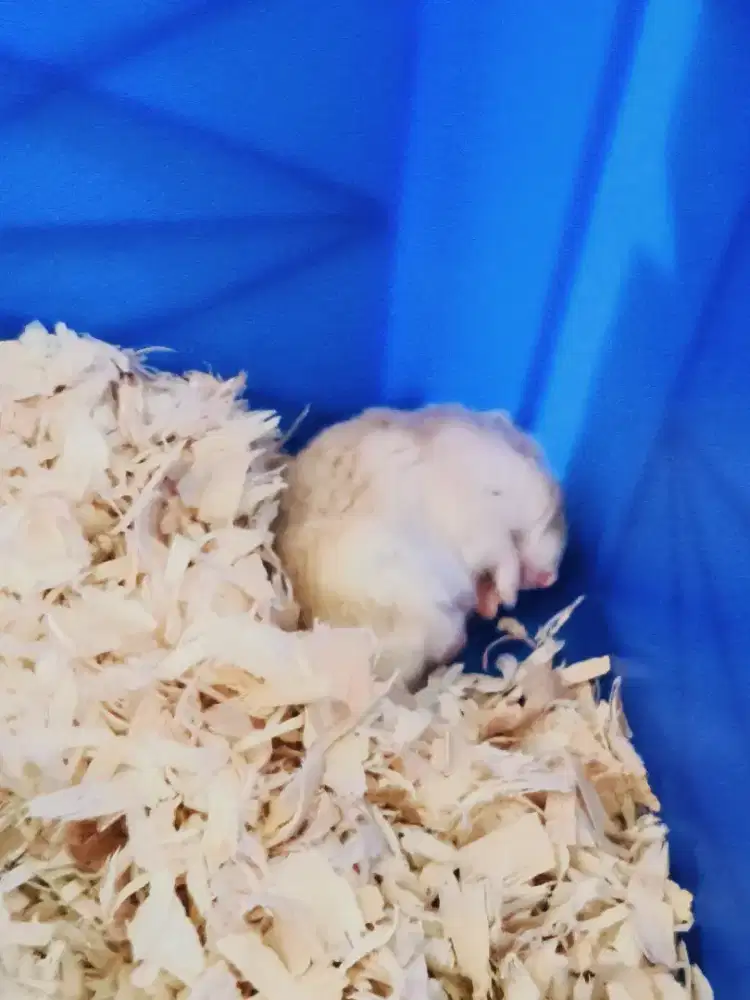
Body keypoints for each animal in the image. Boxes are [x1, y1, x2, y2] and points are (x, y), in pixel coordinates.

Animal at [276, 404, 565, 689]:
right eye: (551, 521)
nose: (551, 580)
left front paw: (491, 604)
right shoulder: (479, 532)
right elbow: (506, 559)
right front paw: (509, 598)